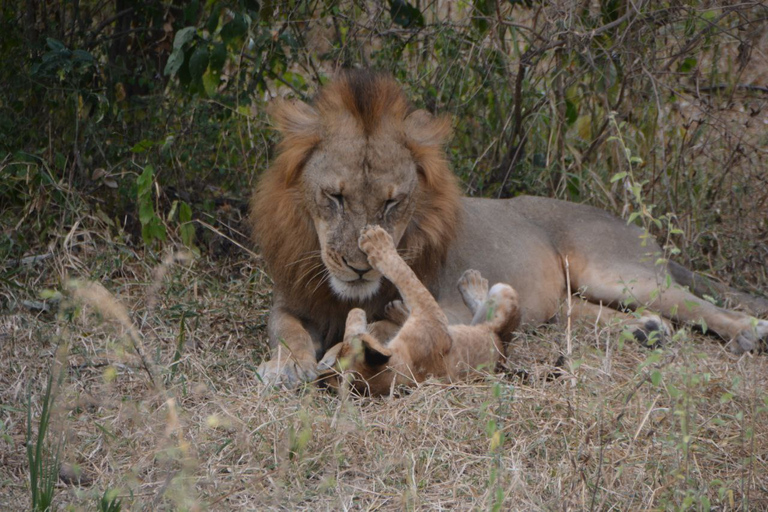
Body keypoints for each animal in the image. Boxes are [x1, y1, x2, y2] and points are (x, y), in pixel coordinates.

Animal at [249, 69, 764, 388]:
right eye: (335, 197)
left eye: (392, 202)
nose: (358, 268)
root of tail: (630, 226)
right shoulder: (292, 301)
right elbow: (286, 331)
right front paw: (286, 366)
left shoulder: (446, 308)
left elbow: (380, 321)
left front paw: (340, 351)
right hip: (570, 300)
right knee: (600, 314)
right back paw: (647, 330)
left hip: (617, 273)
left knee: (699, 304)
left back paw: (748, 332)